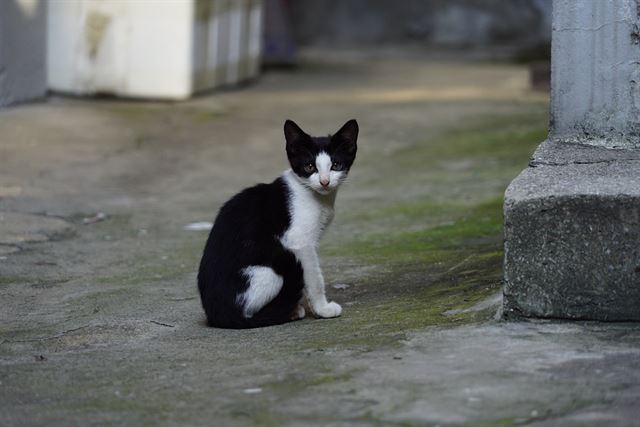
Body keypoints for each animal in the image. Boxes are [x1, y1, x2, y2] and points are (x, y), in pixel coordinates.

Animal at [199, 118, 360, 330]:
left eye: (336, 165)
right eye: (309, 167)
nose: (324, 182)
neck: (314, 195)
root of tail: (218, 313)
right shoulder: (300, 243)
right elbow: (314, 278)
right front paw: (322, 309)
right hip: (270, 270)